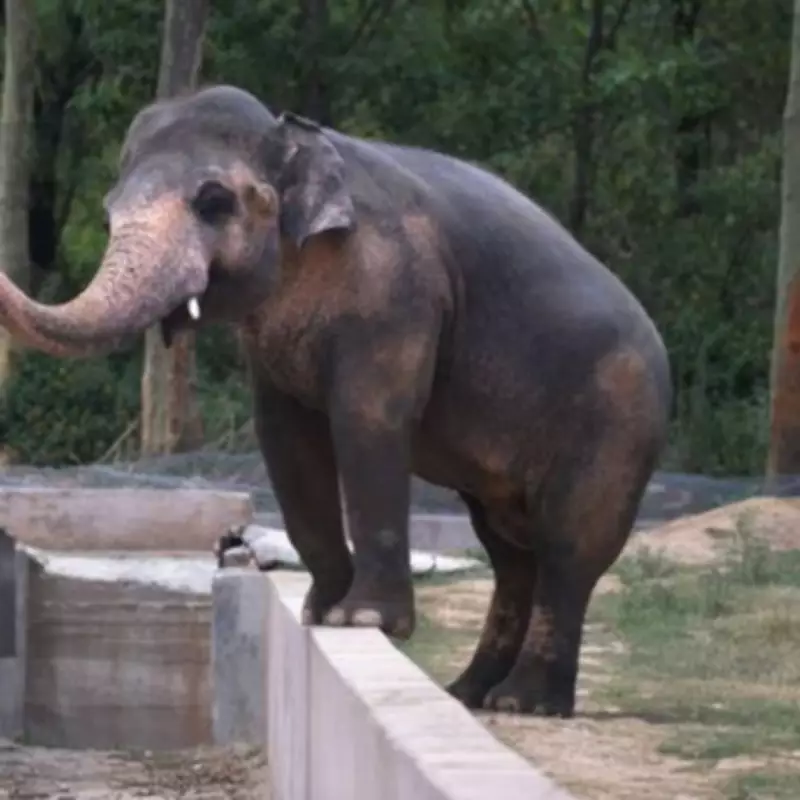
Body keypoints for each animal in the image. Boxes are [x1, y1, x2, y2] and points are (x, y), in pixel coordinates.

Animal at [0, 84, 672, 717]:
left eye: (214, 202)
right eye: (107, 217)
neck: (297, 139)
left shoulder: (397, 291)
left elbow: (367, 420)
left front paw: (364, 621)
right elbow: (283, 438)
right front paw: (319, 613)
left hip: (619, 421)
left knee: (567, 549)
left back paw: (522, 702)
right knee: (510, 552)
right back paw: (469, 693)